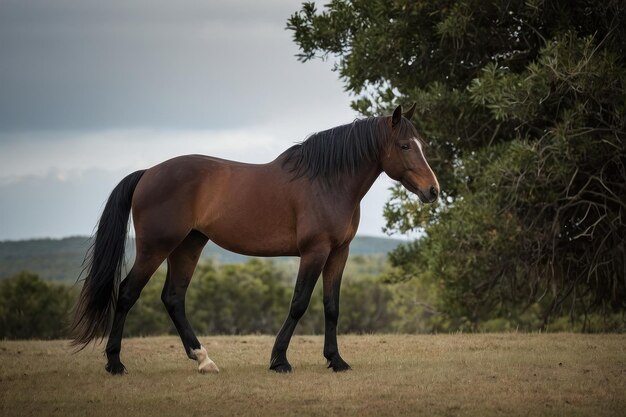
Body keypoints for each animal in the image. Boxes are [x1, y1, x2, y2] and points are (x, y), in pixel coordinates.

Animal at [69, 104, 438, 374]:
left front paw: (336, 360)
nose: (433, 191)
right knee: (127, 293)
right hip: (156, 247)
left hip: (189, 245)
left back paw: (203, 359)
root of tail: (148, 173)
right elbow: (299, 303)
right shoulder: (314, 252)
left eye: (423, 144)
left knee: (173, 298)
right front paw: (280, 361)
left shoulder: (339, 253)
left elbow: (331, 307)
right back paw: (115, 363)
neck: (327, 182)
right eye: (405, 145)